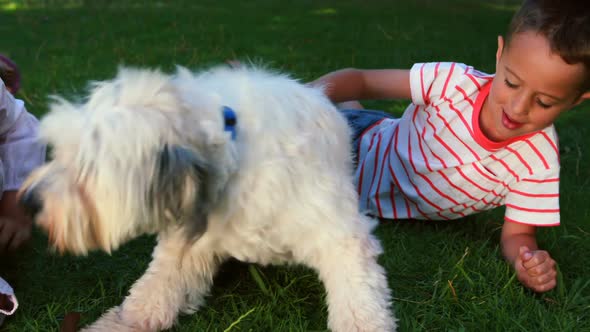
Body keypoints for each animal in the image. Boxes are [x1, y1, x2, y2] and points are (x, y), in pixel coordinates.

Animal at [18, 65, 398, 332]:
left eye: (86, 168)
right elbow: (152, 293)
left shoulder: (338, 235)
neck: (231, 152)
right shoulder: (186, 245)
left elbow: (357, 299)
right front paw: (122, 322)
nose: (29, 202)